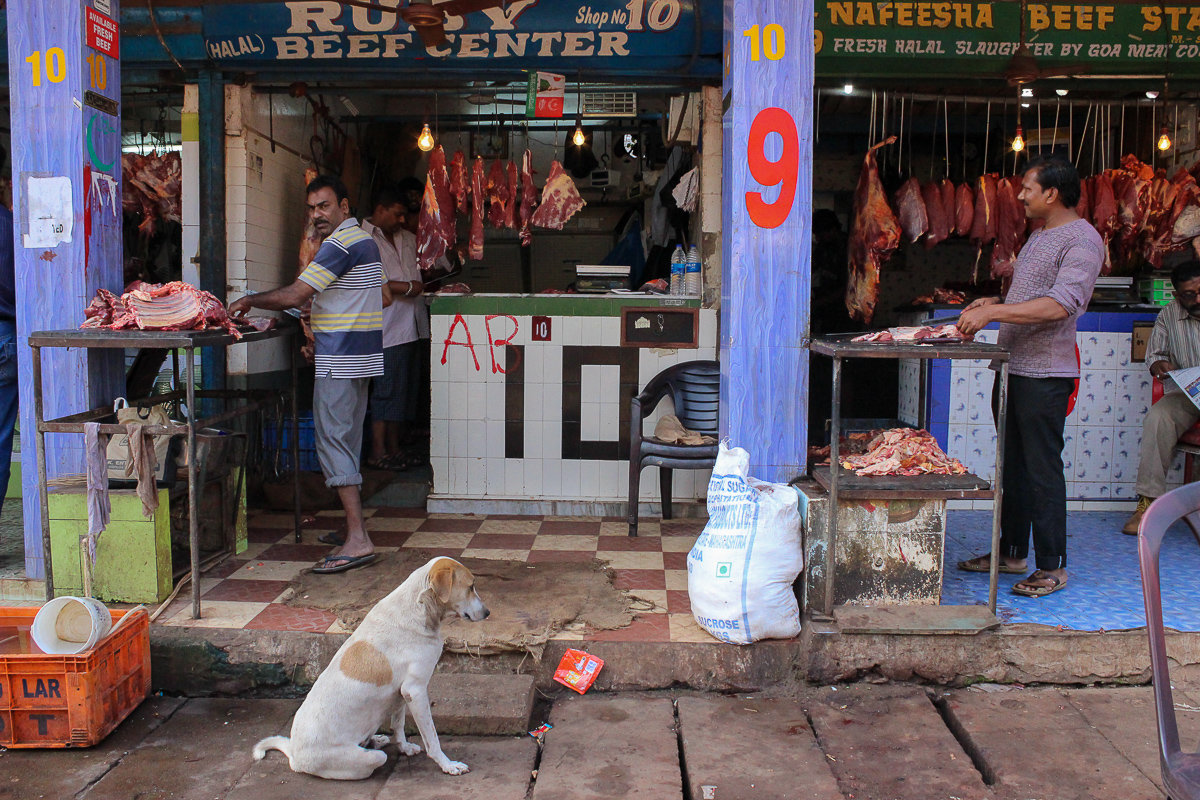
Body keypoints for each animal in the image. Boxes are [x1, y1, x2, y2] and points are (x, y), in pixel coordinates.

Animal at [250, 556, 489, 782]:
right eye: (471, 586)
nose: (487, 613)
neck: (418, 607)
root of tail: (294, 754)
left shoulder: (402, 694)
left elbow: (398, 725)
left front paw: (404, 747)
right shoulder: (416, 690)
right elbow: (432, 737)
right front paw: (448, 765)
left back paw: (376, 739)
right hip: (363, 759)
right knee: (371, 761)